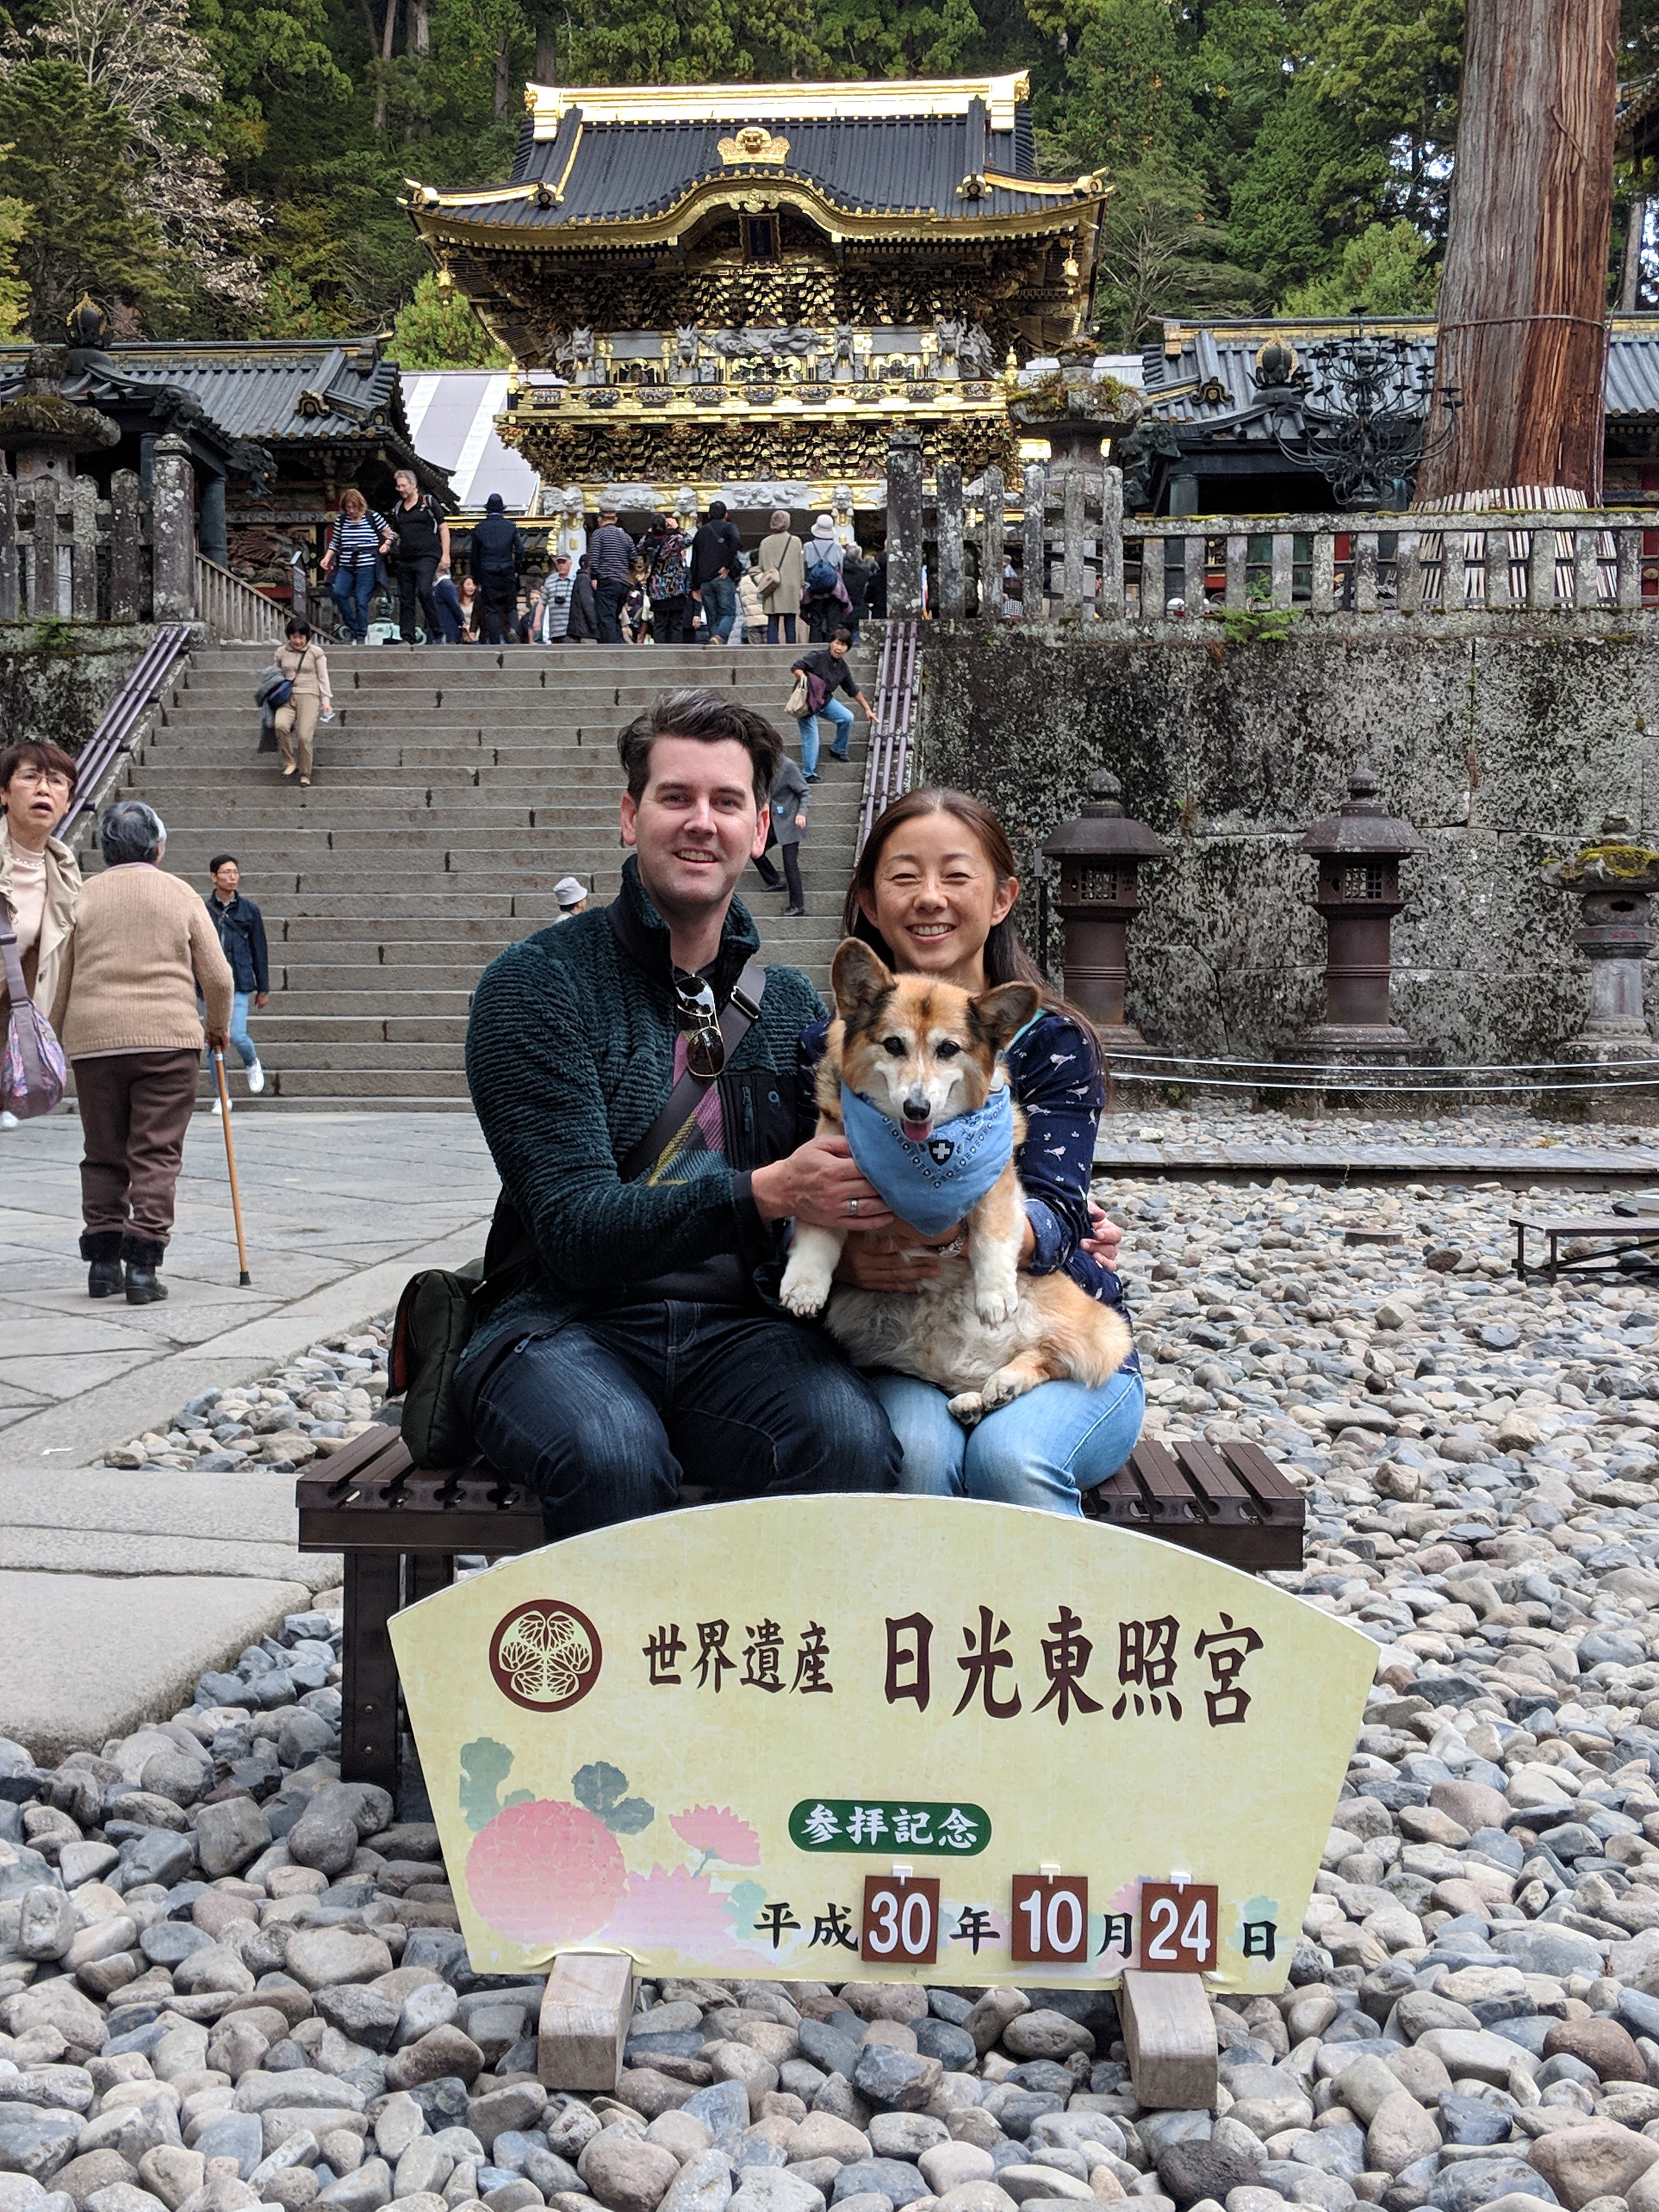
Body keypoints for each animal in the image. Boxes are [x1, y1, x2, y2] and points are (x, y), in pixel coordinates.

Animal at [787, 938, 1141, 1424]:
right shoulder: (825, 1177)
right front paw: (804, 1287)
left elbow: (991, 1235)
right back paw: (978, 1399)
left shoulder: (997, 1187)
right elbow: (818, 1234)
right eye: (893, 1045)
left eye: (948, 1049)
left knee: (1048, 1356)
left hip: (1091, 1326)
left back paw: (1006, 1382)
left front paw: (994, 1296)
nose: (917, 1108)